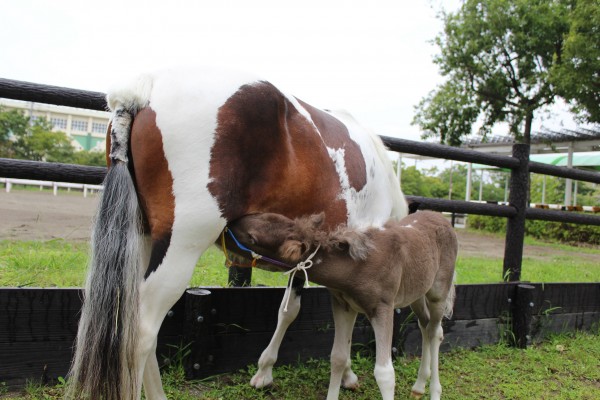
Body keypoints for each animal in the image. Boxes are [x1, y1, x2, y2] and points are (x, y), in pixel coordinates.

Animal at [65, 67, 408, 398]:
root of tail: (143, 91)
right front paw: (346, 373)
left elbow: (289, 310)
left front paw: (265, 371)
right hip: (180, 248)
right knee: (142, 333)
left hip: (144, 242)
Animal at [227, 211, 458, 398]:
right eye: (267, 214)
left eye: (252, 237)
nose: (231, 222)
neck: (356, 266)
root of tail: (443, 220)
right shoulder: (343, 304)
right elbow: (337, 358)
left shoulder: (382, 307)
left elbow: (384, 373)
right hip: (417, 293)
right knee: (424, 325)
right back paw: (419, 386)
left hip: (438, 292)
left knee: (435, 332)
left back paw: (434, 391)